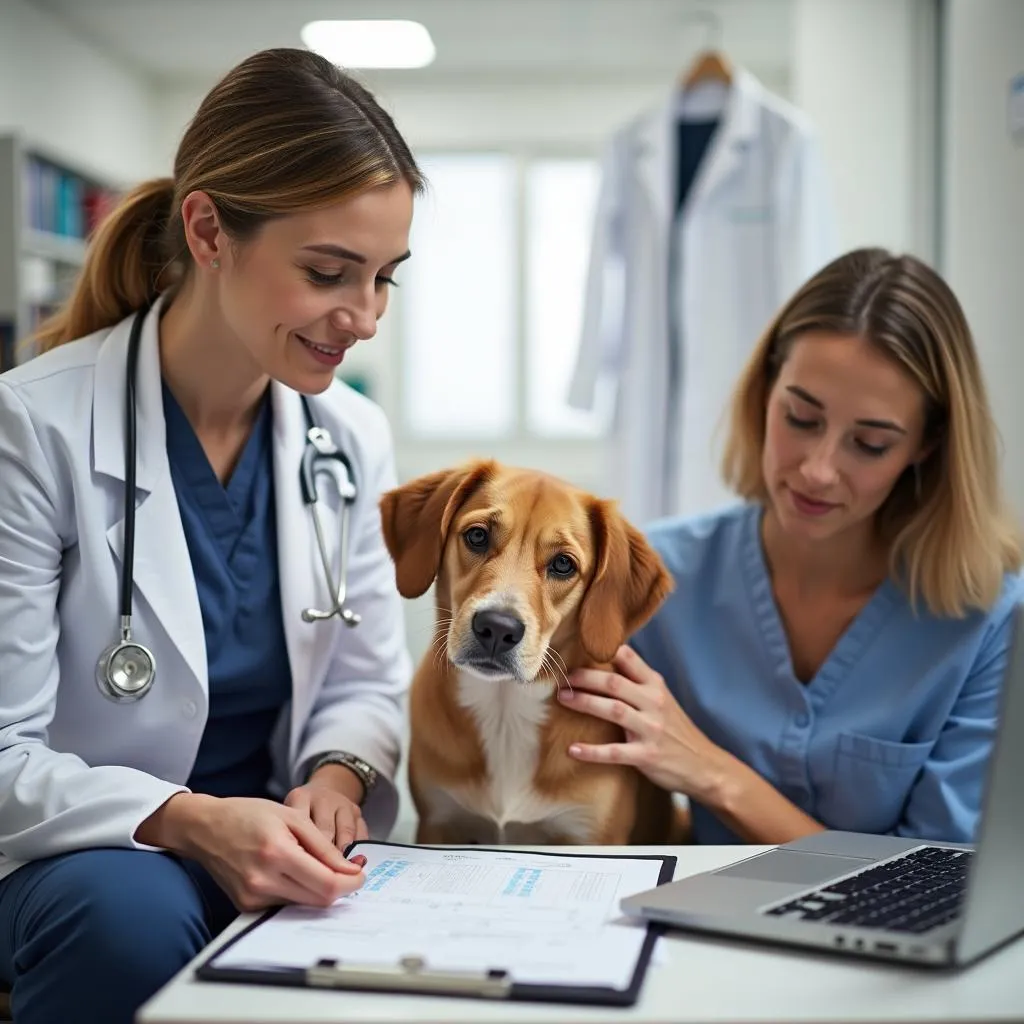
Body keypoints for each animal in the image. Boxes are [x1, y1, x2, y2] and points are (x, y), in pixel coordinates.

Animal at [380, 460, 684, 843]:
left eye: (563, 564)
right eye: (477, 536)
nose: (497, 627)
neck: (505, 710)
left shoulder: (592, 836)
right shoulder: (439, 821)